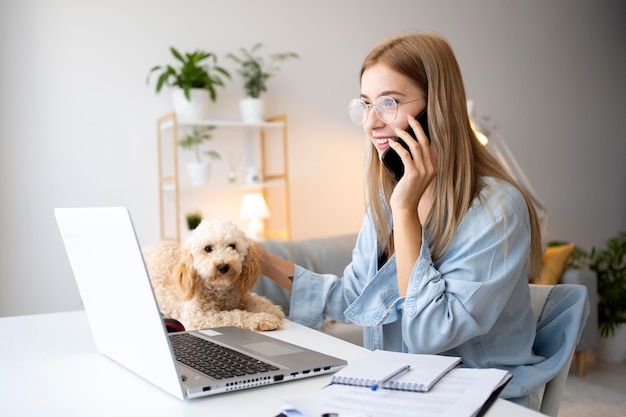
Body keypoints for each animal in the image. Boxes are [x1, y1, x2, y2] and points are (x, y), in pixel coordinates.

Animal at [141, 218, 282, 332]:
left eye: (232, 246)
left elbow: (258, 301)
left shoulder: (242, 296)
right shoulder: (201, 316)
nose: (223, 266)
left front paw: (273, 310)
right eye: (208, 248)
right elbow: (235, 314)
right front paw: (262, 318)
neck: (220, 290)